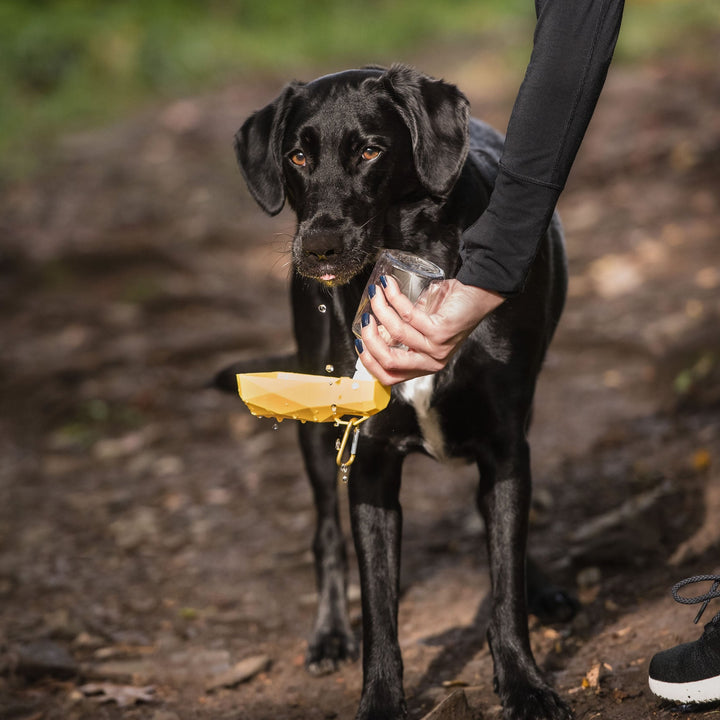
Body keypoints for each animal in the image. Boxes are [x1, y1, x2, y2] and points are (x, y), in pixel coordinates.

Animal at [225, 66, 572, 720]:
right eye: (297, 156)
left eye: (369, 151)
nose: (319, 248)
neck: (407, 269)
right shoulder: (369, 465)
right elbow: (379, 611)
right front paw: (381, 700)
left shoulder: (505, 443)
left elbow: (504, 580)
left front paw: (525, 684)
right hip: (316, 429)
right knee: (324, 536)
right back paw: (327, 634)